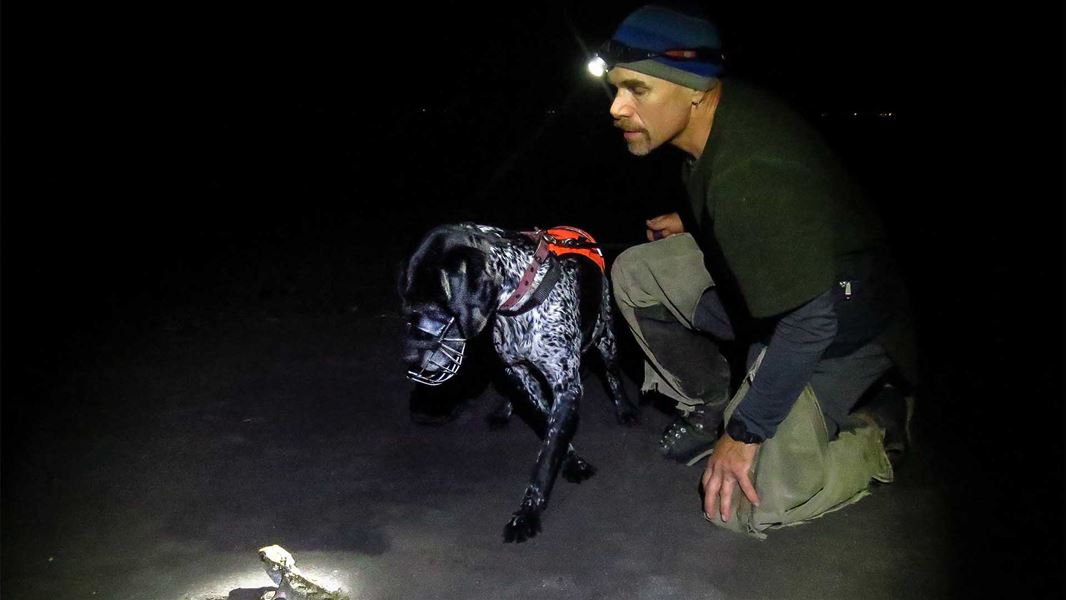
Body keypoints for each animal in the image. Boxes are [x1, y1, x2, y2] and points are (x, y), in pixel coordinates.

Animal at [398, 222, 631, 541]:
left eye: (432, 307)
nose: (408, 359)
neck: (522, 302)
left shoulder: (566, 387)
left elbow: (546, 456)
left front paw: (527, 514)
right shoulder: (517, 372)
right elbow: (546, 422)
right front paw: (573, 460)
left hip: (605, 337)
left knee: (612, 373)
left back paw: (625, 409)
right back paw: (503, 410)